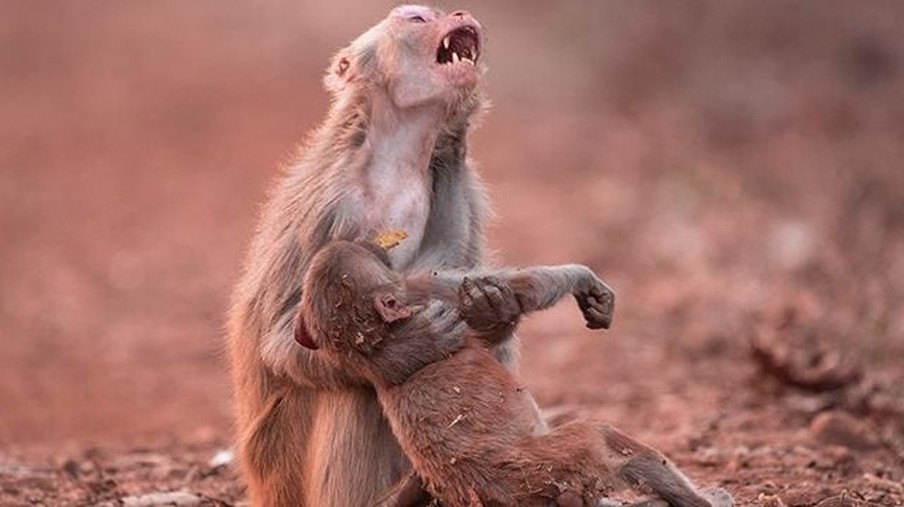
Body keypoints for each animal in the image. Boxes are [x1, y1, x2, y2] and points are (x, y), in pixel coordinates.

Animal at [226, 4, 524, 507]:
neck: (396, 158)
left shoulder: (455, 184)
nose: (458, 12)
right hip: (289, 470)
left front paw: (492, 307)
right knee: (353, 390)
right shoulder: (333, 208)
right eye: (418, 18)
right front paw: (405, 352)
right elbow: (283, 337)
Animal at [298, 241, 736, 507]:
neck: (375, 337)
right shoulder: (423, 292)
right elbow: (524, 288)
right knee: (602, 437)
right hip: (562, 461)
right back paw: (703, 500)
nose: (374, 243)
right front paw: (582, 278)